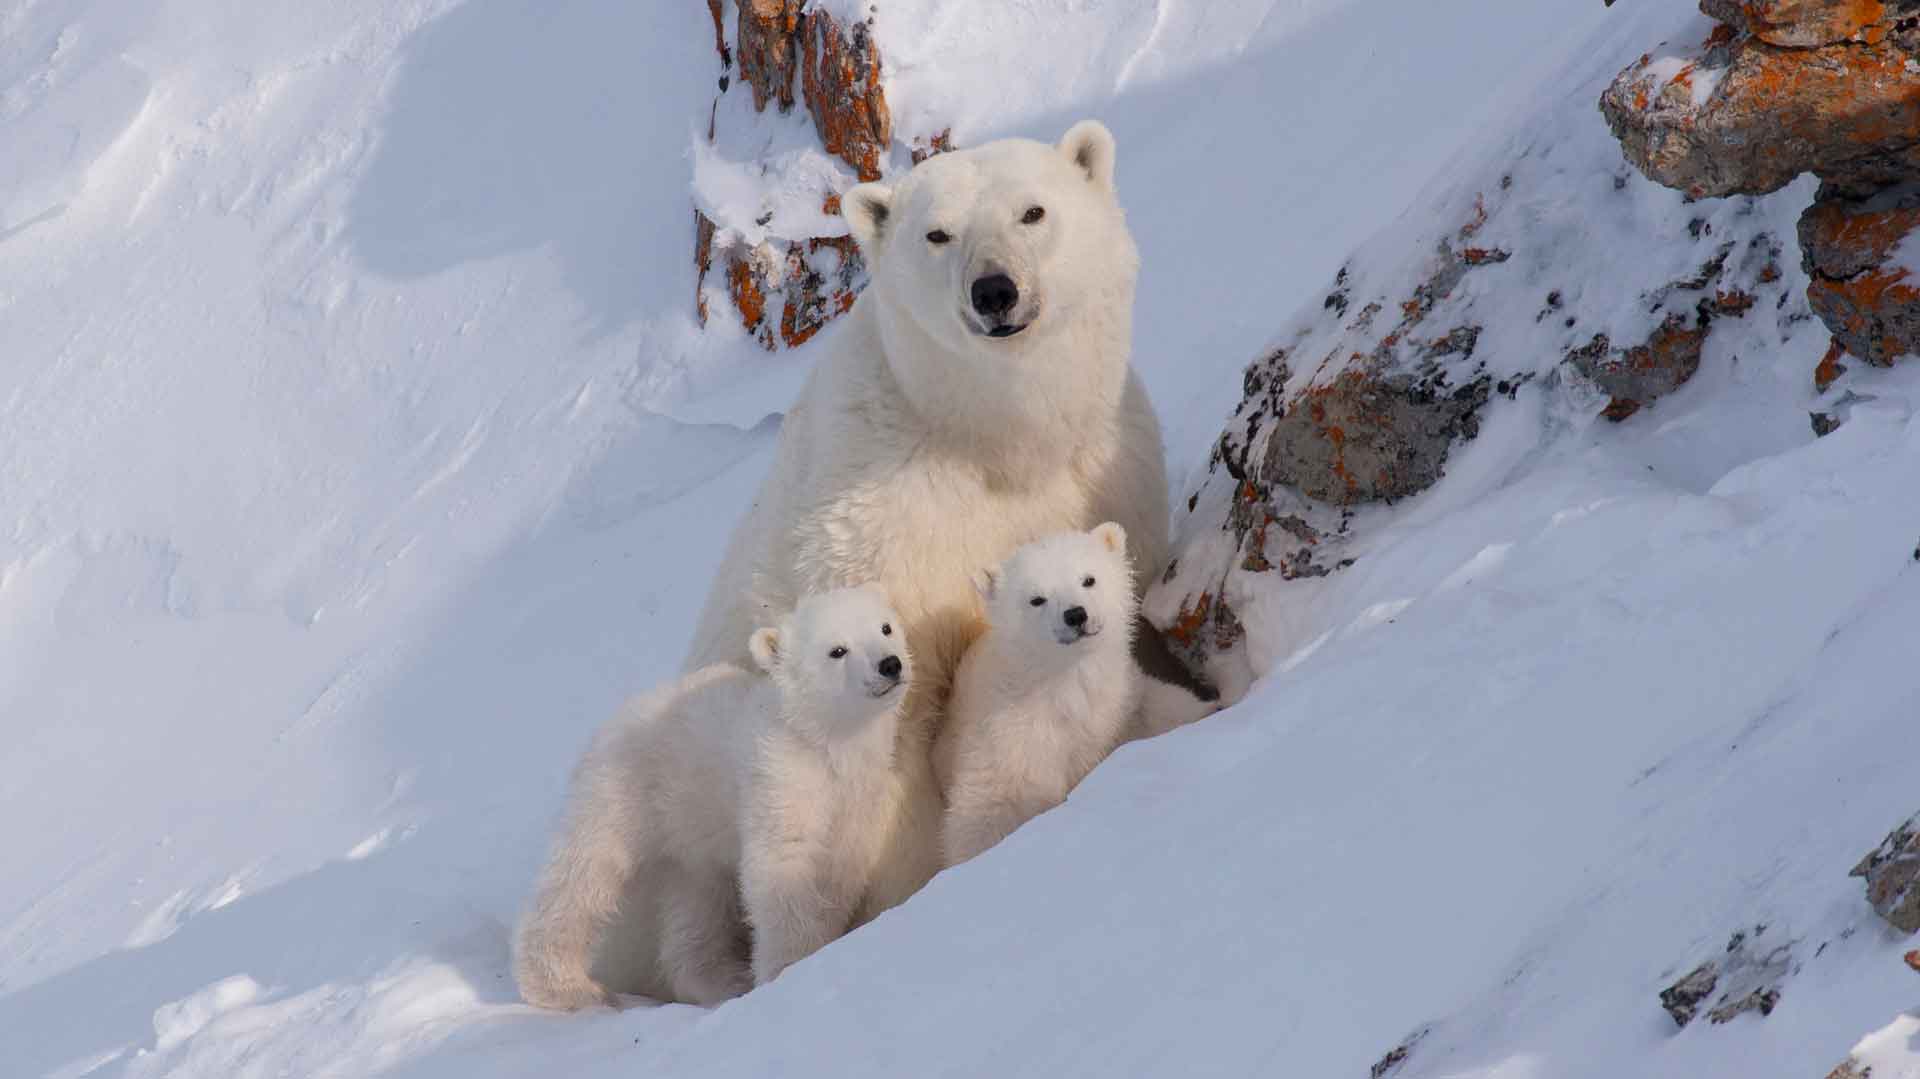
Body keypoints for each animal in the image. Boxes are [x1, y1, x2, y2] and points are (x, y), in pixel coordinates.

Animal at [514, 583, 910, 1006]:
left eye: (885, 627)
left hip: (689, 837)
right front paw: (787, 968)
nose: (890, 664)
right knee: (584, 874)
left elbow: (840, 868)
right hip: (621, 790)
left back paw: (720, 979)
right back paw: (565, 986)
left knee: (695, 911)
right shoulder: (779, 778)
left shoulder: (860, 794)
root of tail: (609, 724)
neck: (822, 741)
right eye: (836, 650)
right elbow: (782, 868)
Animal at [933, 522, 1136, 863]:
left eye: (1089, 579)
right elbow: (982, 811)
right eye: (1037, 599)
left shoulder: (1108, 715)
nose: (1076, 614)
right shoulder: (1004, 741)